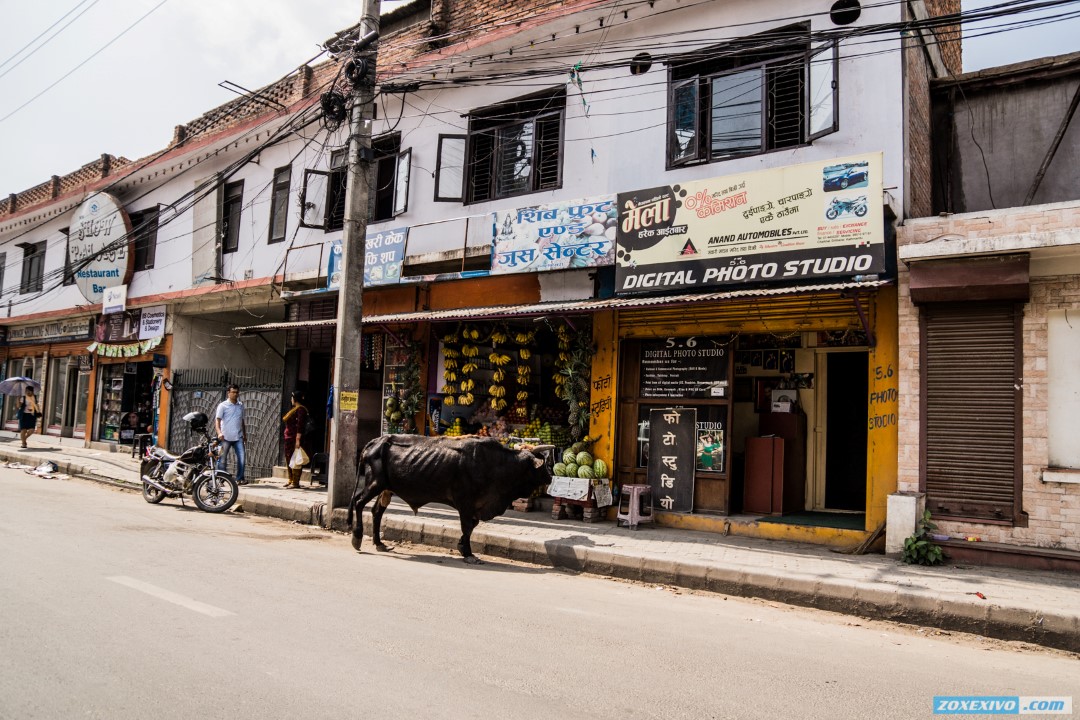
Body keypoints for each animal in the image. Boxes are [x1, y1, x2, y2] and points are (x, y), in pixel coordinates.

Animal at [349, 436, 552, 565]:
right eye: (542, 465)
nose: (550, 477)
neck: (498, 464)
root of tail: (377, 441)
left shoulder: (476, 507)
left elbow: (471, 526)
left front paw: (462, 547)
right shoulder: (465, 503)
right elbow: (467, 527)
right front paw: (468, 553)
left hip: (386, 489)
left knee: (376, 511)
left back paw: (379, 543)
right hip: (374, 484)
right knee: (359, 503)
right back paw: (357, 538)